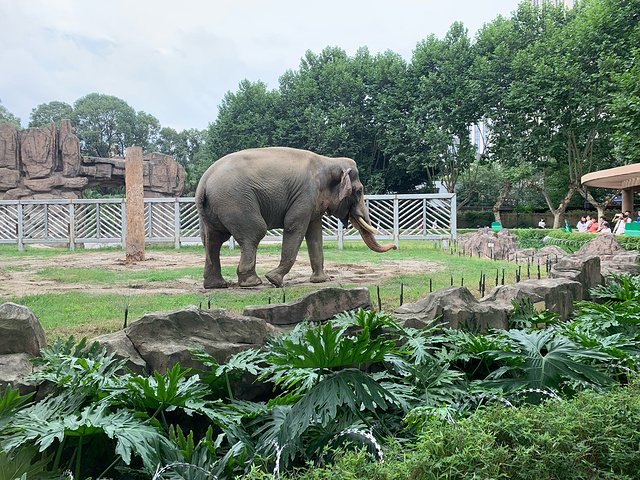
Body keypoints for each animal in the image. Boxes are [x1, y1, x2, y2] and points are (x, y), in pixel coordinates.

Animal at [192, 146, 398, 288]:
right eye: (360, 191)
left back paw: (217, 285)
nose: (395, 247)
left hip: (216, 207)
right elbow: (295, 228)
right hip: (235, 201)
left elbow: (315, 234)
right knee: (254, 232)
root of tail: (203, 182)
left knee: (213, 240)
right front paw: (274, 280)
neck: (327, 162)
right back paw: (253, 282)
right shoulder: (305, 194)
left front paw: (323, 280)